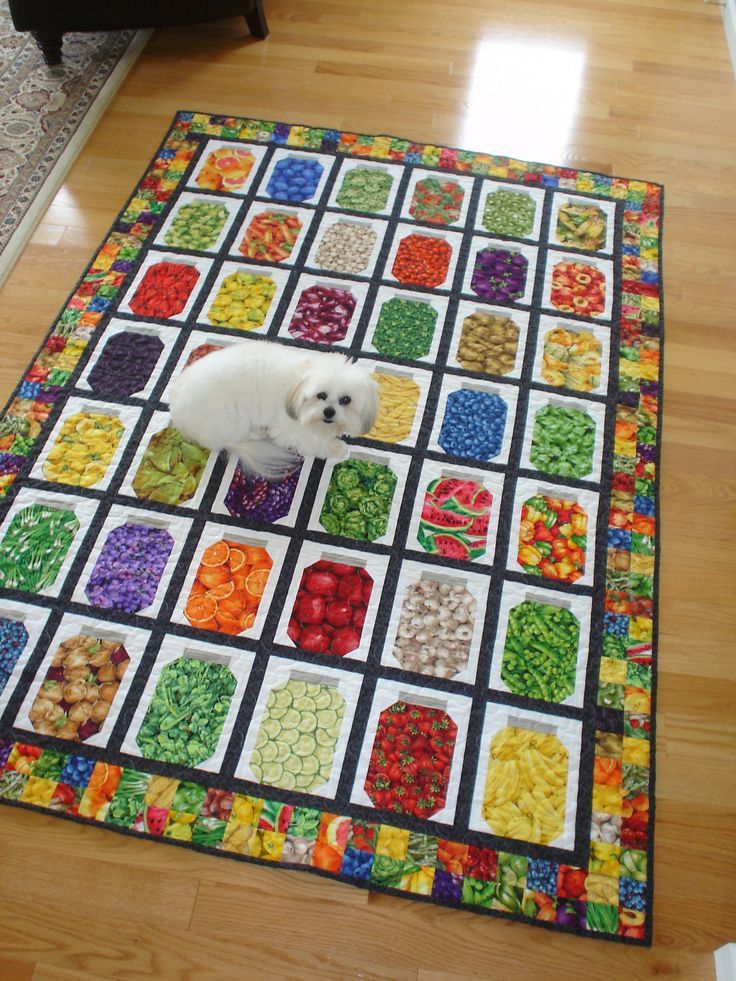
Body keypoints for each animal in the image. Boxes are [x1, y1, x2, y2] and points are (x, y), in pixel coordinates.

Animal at [169, 340, 380, 478]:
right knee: (236, 437)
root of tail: (177, 414)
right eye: (321, 395)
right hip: (230, 420)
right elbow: (313, 441)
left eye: (346, 400)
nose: (329, 412)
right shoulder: (288, 429)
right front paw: (337, 447)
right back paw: (258, 433)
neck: (301, 378)